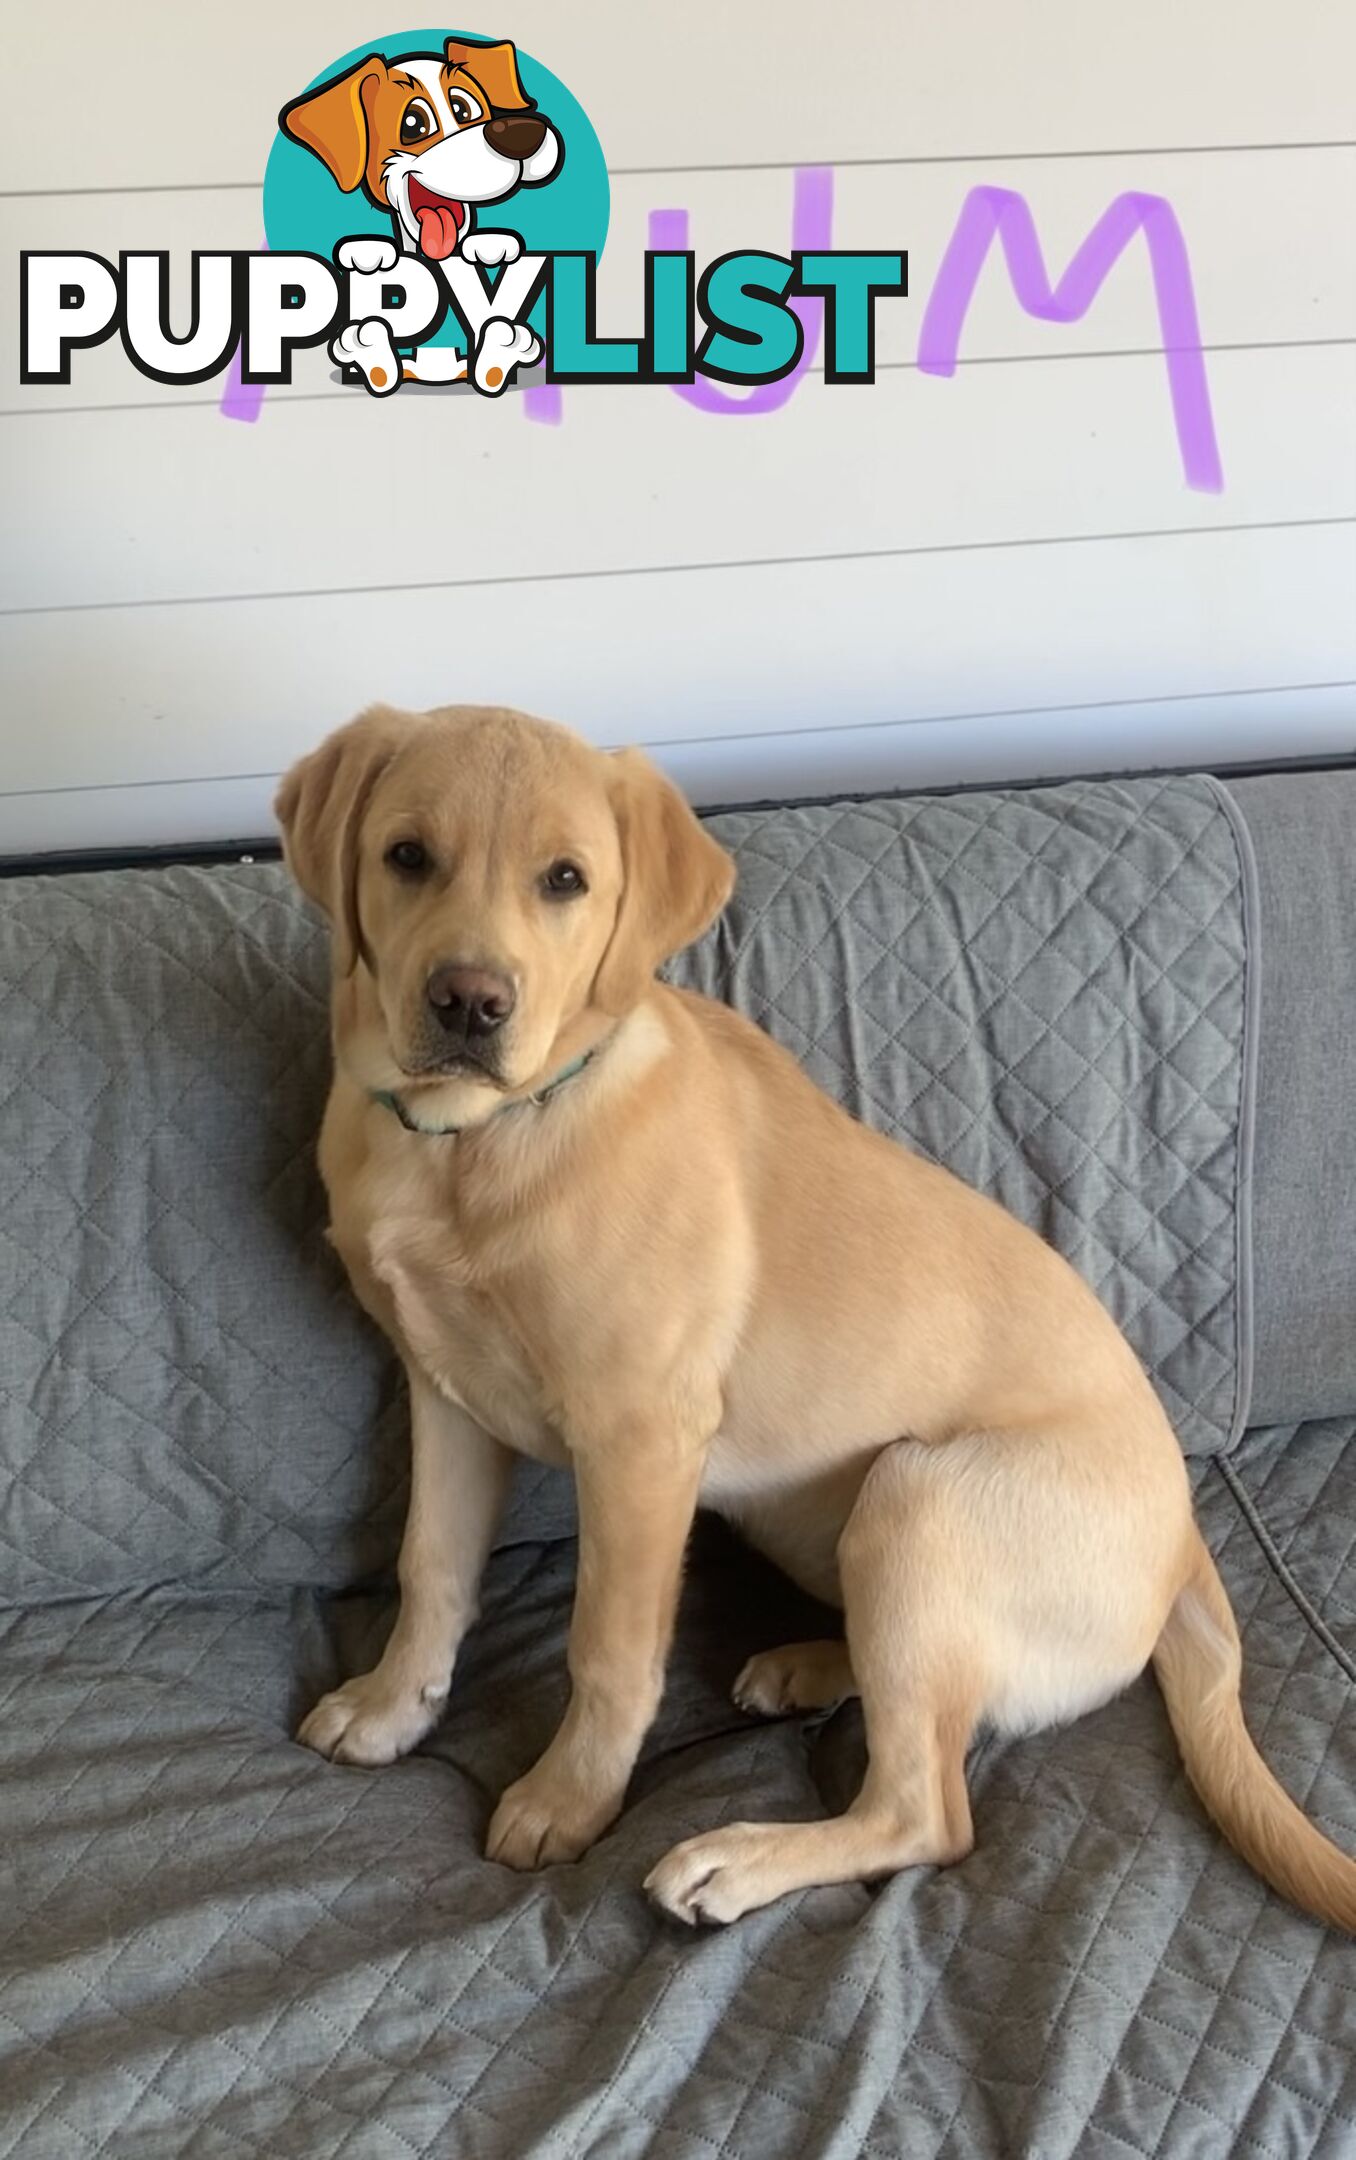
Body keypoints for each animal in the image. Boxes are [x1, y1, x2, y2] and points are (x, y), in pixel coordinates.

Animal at [278, 699, 1356, 1935]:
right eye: (407, 856)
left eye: (566, 879)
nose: (469, 1002)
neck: (477, 1141)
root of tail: (1185, 1548)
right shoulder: (444, 1394)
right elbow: (432, 1570)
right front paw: (391, 1707)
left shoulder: (639, 1442)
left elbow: (608, 1651)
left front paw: (567, 1800)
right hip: (835, 1525)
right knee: (928, 1711)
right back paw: (805, 1668)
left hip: (916, 1497)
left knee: (926, 1811)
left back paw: (735, 1858)